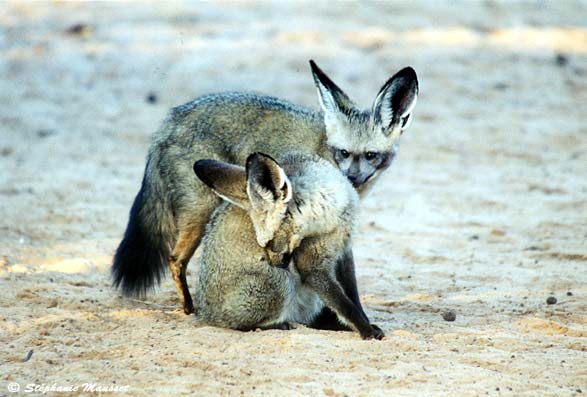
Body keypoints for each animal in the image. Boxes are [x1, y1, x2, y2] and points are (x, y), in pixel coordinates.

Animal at [112, 58, 420, 338]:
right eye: (343, 153)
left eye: (370, 155)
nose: (352, 177)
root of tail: (168, 122)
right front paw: (358, 325)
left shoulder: (340, 236)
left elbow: (350, 289)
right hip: (203, 214)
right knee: (176, 260)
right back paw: (193, 309)